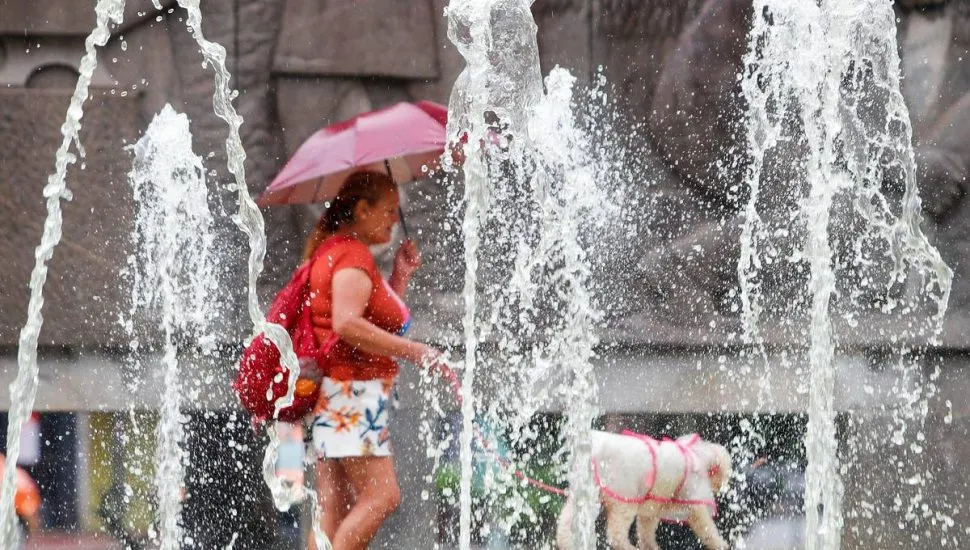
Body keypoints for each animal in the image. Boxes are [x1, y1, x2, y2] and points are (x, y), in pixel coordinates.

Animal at [556, 434, 728, 548]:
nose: (721, 488)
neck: (696, 454)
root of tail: (595, 450)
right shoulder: (694, 494)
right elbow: (702, 520)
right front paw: (721, 544)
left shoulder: (653, 504)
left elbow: (646, 526)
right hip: (624, 491)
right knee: (616, 531)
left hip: (584, 488)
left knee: (566, 520)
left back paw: (567, 543)